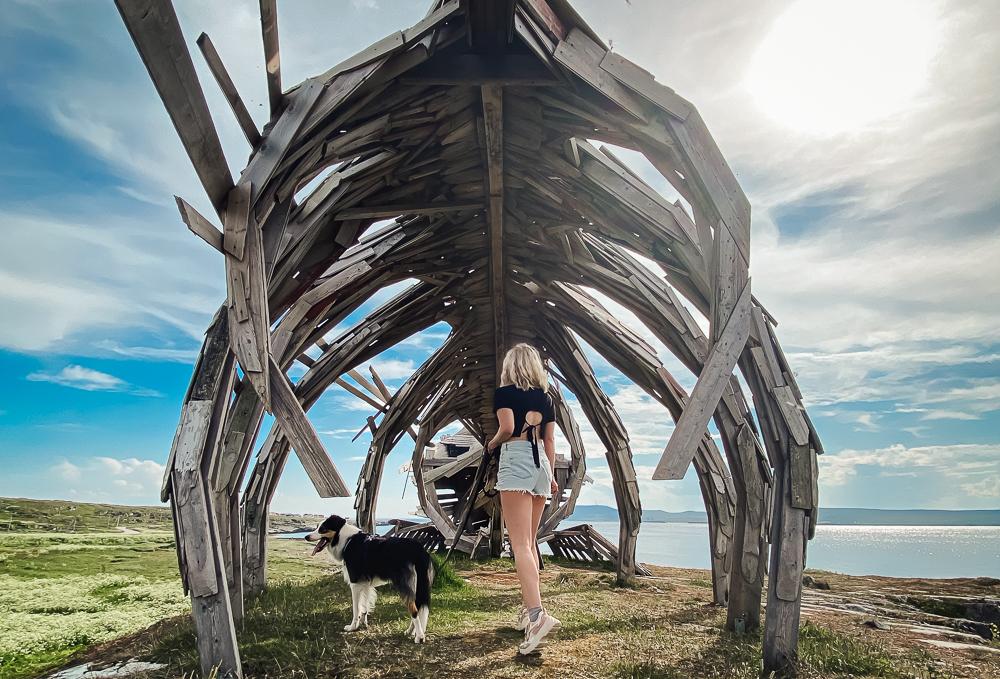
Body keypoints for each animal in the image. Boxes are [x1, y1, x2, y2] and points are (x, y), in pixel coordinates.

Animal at [302, 516, 432, 644]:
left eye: (322, 529)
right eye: (317, 527)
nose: (306, 537)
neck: (346, 541)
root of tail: (418, 549)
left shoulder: (355, 584)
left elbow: (356, 609)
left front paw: (352, 627)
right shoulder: (365, 583)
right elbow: (364, 606)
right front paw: (362, 624)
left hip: (404, 584)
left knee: (414, 611)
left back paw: (419, 637)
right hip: (417, 585)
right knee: (417, 608)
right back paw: (410, 631)